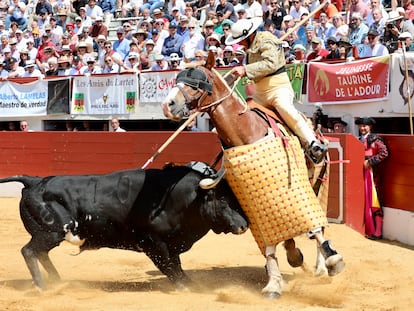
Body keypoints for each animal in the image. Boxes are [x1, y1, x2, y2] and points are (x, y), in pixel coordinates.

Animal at [0, 167, 247, 292]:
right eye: (222, 199)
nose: (244, 225)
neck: (184, 200)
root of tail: (34, 181)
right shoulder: (154, 244)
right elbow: (170, 268)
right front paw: (185, 288)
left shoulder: (171, 244)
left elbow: (177, 267)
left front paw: (190, 284)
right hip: (50, 232)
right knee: (29, 251)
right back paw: (42, 287)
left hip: (50, 235)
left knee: (40, 253)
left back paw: (58, 282)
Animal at [160, 53, 344, 300]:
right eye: (178, 78)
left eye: (197, 82)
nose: (167, 105)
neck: (244, 130)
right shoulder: (252, 203)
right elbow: (268, 244)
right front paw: (274, 283)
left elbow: (312, 227)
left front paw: (332, 260)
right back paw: (293, 255)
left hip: (318, 186)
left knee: (319, 224)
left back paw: (321, 267)